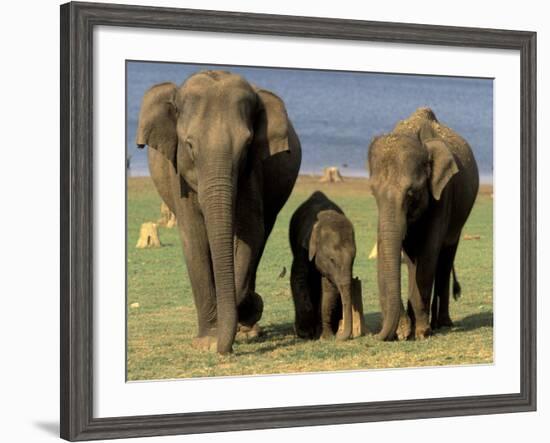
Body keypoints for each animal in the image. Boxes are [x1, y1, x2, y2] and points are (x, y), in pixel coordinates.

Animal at [136, 71, 304, 356]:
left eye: (246, 145)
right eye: (190, 145)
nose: (223, 349)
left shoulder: (252, 171)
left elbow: (250, 231)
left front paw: (244, 318)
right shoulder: (177, 175)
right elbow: (193, 237)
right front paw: (206, 342)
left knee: (263, 234)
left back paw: (248, 329)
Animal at [288, 191, 362, 340]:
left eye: (353, 260)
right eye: (332, 260)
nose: (339, 336)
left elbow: (329, 290)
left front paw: (326, 337)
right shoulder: (303, 247)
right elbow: (298, 279)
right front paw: (305, 333)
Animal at [368, 106, 480, 340]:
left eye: (412, 193)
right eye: (372, 192)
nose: (378, 335)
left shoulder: (443, 194)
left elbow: (429, 253)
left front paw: (421, 333)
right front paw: (406, 330)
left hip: (458, 219)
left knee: (445, 257)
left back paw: (441, 323)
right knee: (413, 260)